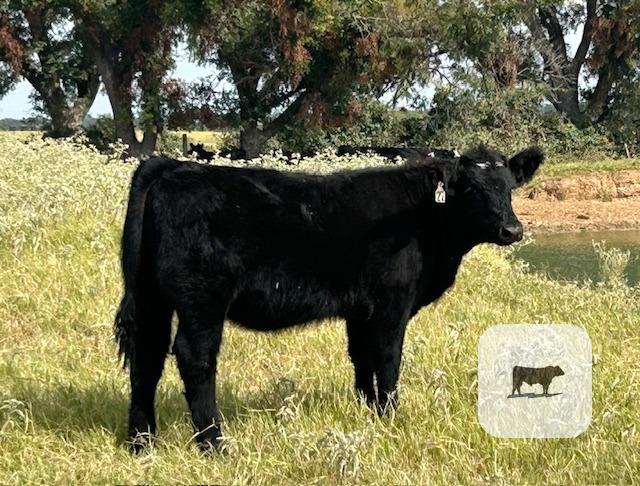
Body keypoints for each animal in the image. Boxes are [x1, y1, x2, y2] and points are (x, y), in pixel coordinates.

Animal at [115, 144, 544, 452]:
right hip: (201, 299)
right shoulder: (391, 305)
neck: (426, 222)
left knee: (147, 357)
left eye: (509, 187)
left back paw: (141, 442)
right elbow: (388, 359)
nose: (512, 230)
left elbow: (361, 358)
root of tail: (173, 166)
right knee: (194, 358)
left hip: (151, 296)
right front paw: (391, 417)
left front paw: (367, 410)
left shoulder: (360, 309)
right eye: (470, 189)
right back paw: (213, 444)